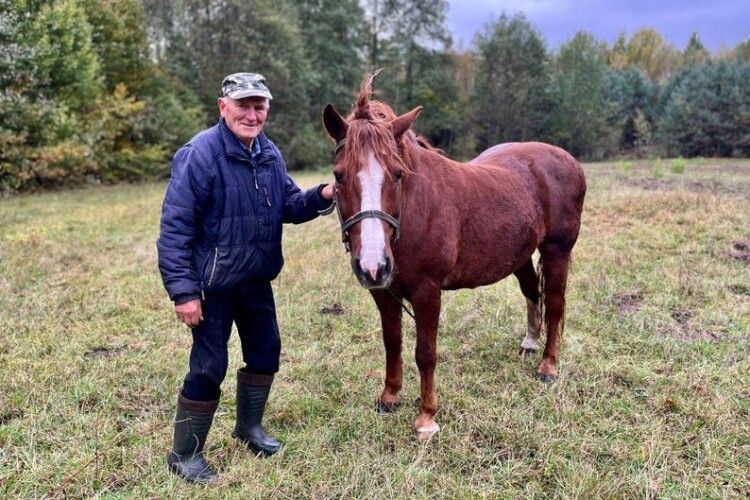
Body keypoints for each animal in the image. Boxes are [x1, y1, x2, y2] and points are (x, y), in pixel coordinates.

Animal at [324, 77, 588, 438]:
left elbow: (425, 353)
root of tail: (567, 159)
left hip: (557, 250)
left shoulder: (427, 292)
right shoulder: (384, 292)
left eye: (397, 174)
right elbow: (392, 342)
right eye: (339, 176)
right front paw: (390, 397)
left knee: (556, 304)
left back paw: (548, 366)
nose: (372, 264)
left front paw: (427, 418)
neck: (414, 210)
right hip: (519, 254)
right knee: (533, 291)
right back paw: (530, 343)